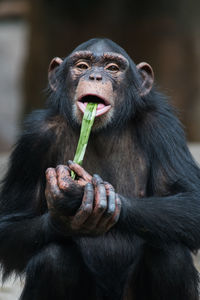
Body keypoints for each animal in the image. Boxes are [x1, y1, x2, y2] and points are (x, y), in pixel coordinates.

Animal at [0, 38, 200, 300]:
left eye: (113, 68)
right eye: (82, 66)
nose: (95, 76)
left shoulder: (163, 125)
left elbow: (192, 201)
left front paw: (82, 195)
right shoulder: (34, 139)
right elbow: (10, 227)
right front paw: (62, 215)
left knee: (170, 254)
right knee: (54, 260)